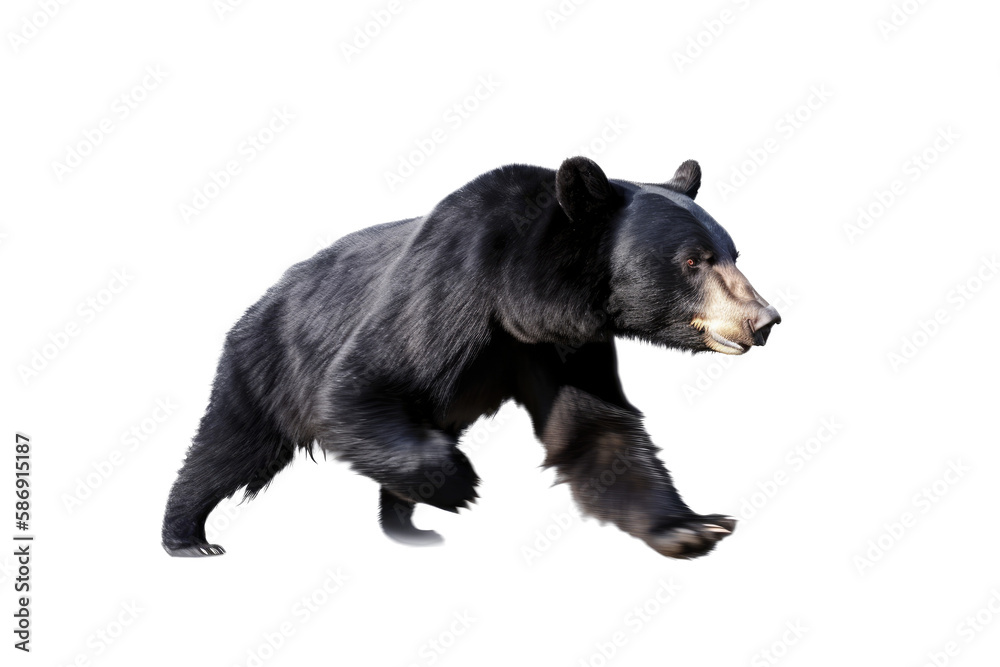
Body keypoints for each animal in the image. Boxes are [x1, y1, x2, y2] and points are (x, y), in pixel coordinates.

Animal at [161, 156, 780, 559]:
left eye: (733, 253)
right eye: (694, 260)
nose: (764, 320)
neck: (517, 298)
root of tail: (264, 297)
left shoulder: (559, 345)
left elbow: (597, 430)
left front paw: (691, 526)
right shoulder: (447, 289)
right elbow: (358, 384)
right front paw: (459, 484)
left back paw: (407, 530)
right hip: (265, 362)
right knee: (232, 445)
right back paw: (187, 536)